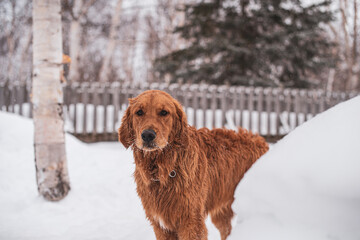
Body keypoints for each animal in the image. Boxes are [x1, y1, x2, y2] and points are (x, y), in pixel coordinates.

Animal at [119, 89, 268, 239]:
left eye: (164, 112)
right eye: (139, 112)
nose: (148, 135)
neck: (164, 167)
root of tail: (262, 141)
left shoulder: (191, 221)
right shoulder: (160, 225)